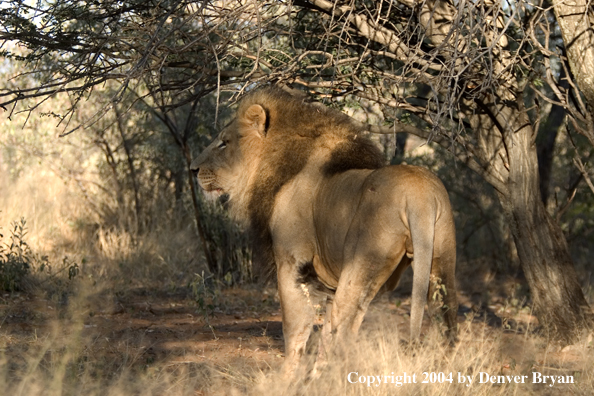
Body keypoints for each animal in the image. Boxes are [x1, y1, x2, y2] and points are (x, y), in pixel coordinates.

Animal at [190, 87, 454, 378]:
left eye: (224, 143)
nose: (193, 169)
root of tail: (419, 195)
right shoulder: (328, 281)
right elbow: (324, 334)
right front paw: (314, 373)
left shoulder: (292, 265)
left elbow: (295, 327)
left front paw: (286, 377)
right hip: (441, 262)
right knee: (447, 318)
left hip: (362, 267)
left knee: (346, 328)